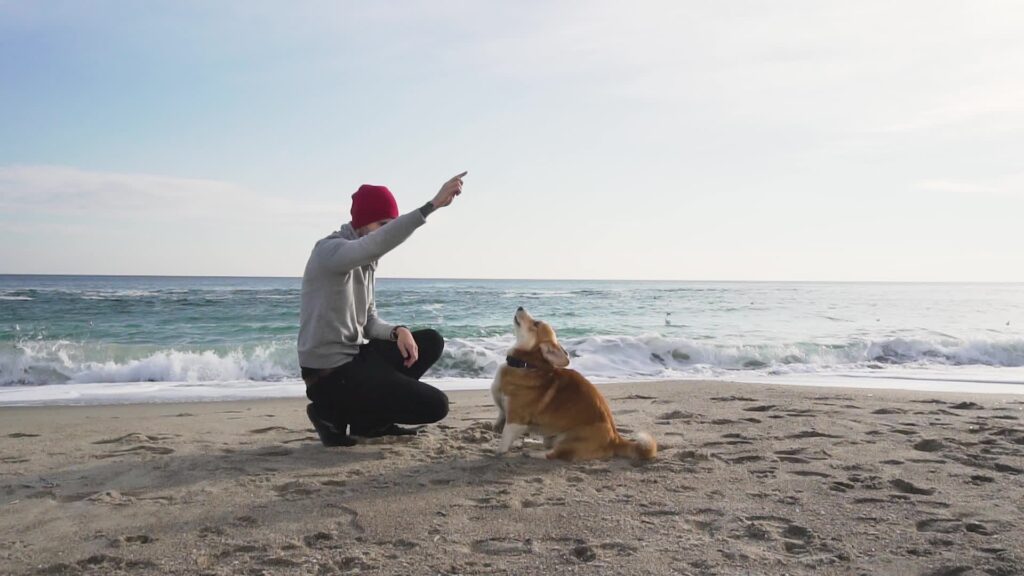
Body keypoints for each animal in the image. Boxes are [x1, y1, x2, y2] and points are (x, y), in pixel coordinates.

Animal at [489, 305, 655, 461]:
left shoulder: (516, 419)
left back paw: (533, 453)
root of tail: (616, 439)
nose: (520, 307)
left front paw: (498, 452)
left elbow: (505, 438)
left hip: (569, 439)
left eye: (536, 323)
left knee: (554, 453)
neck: (525, 364)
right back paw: (531, 443)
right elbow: (500, 418)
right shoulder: (504, 410)